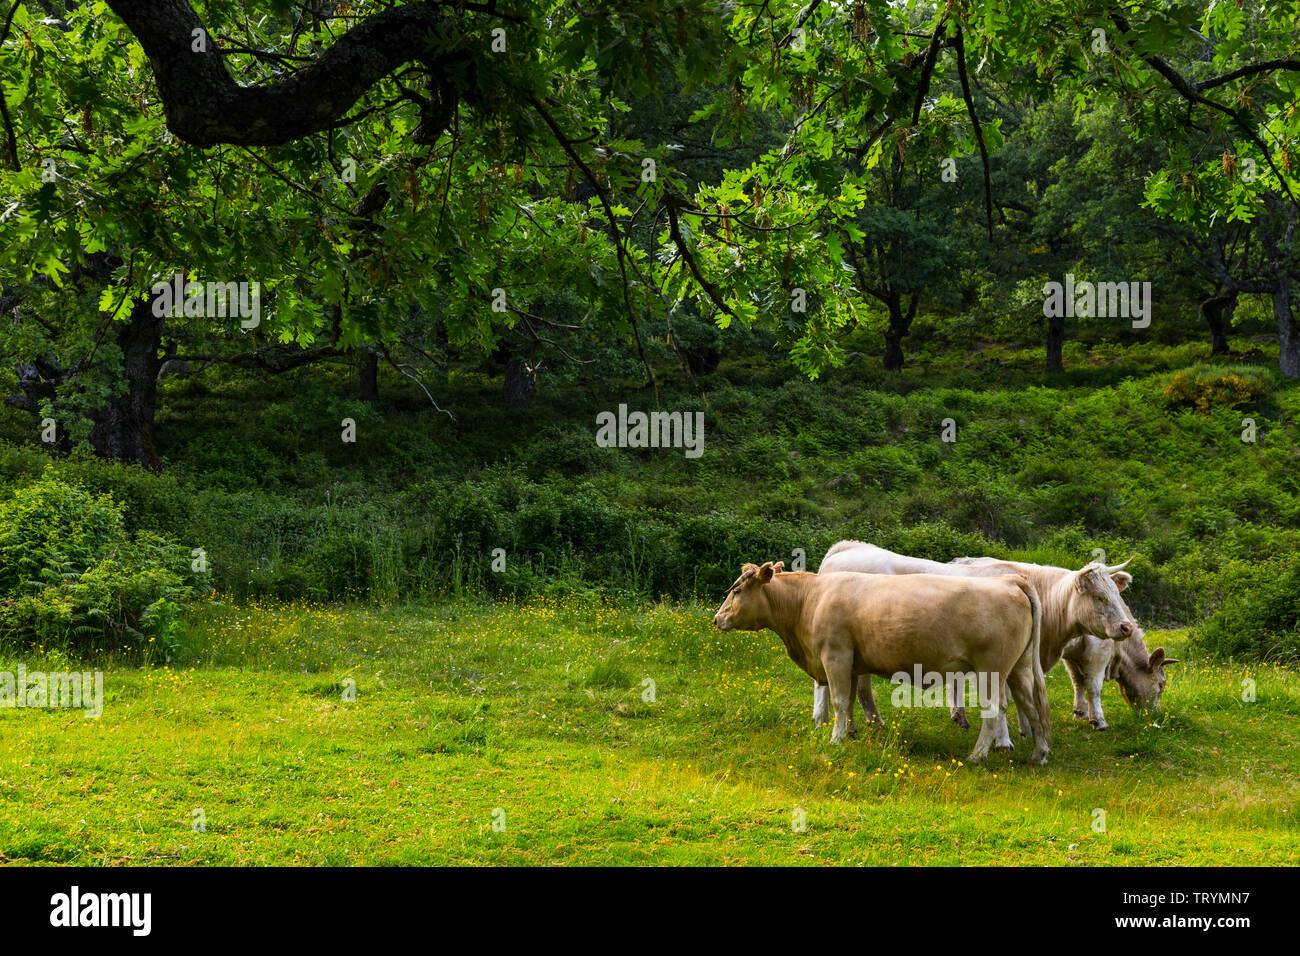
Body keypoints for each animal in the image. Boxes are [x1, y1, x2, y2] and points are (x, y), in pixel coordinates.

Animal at [707, 564, 1050, 764]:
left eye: (737, 590)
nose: (717, 619)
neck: (809, 600)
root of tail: (1009, 580)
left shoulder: (835, 655)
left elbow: (839, 699)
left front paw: (836, 739)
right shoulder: (852, 663)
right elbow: (852, 701)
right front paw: (851, 732)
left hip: (991, 670)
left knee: (995, 710)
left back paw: (977, 756)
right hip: (1019, 667)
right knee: (1031, 706)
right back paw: (1039, 754)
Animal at [956, 556, 1180, 728]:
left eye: (1116, 593)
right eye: (1161, 685)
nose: (1156, 714)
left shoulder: (1073, 653)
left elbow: (1078, 682)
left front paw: (1079, 712)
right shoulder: (1097, 653)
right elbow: (1093, 687)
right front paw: (1098, 720)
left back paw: (959, 717)